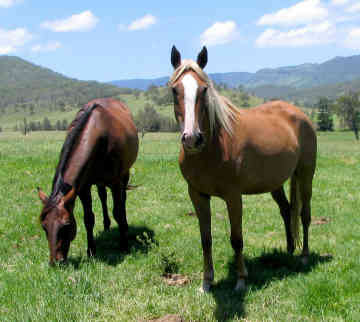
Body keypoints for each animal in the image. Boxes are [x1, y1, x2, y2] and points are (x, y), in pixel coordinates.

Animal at [38, 97, 139, 264]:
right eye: (44, 226)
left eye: (66, 225)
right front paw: (91, 250)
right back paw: (106, 226)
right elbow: (88, 218)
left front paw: (124, 244)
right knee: (103, 196)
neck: (98, 133)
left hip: (124, 175)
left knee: (122, 200)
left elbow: (118, 211)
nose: (56, 262)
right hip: (99, 182)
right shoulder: (83, 187)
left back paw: (124, 226)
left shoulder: (115, 182)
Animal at [170, 47, 316, 292]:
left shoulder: (233, 196)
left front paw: (240, 280)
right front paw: (206, 282)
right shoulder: (197, 195)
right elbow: (205, 239)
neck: (213, 147)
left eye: (204, 89)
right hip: (275, 183)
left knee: (304, 215)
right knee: (287, 210)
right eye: (174, 90)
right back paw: (288, 250)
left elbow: (236, 238)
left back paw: (304, 256)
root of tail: (300, 115)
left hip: (306, 175)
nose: (192, 139)